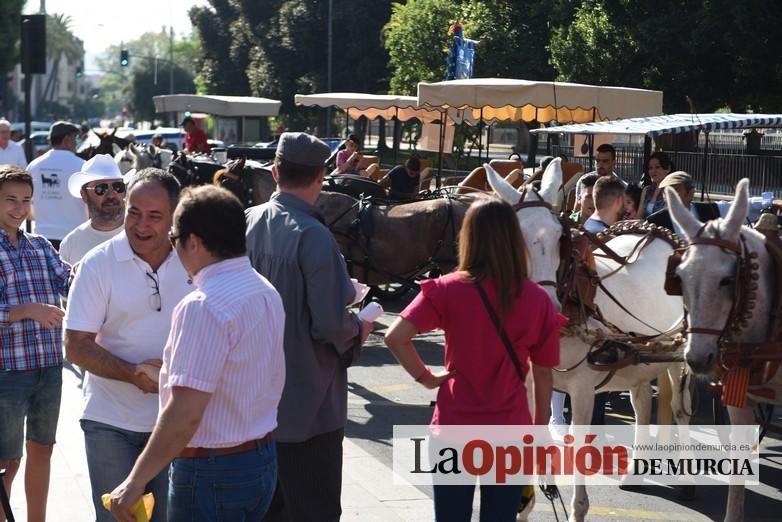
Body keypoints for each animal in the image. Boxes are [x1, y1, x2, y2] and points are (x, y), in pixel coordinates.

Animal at [486, 160, 696, 516]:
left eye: (560, 238)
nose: (548, 310)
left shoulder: (582, 391)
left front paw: (577, 506)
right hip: (637, 360)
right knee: (642, 402)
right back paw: (635, 470)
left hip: (677, 354)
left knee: (680, 409)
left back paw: (684, 479)